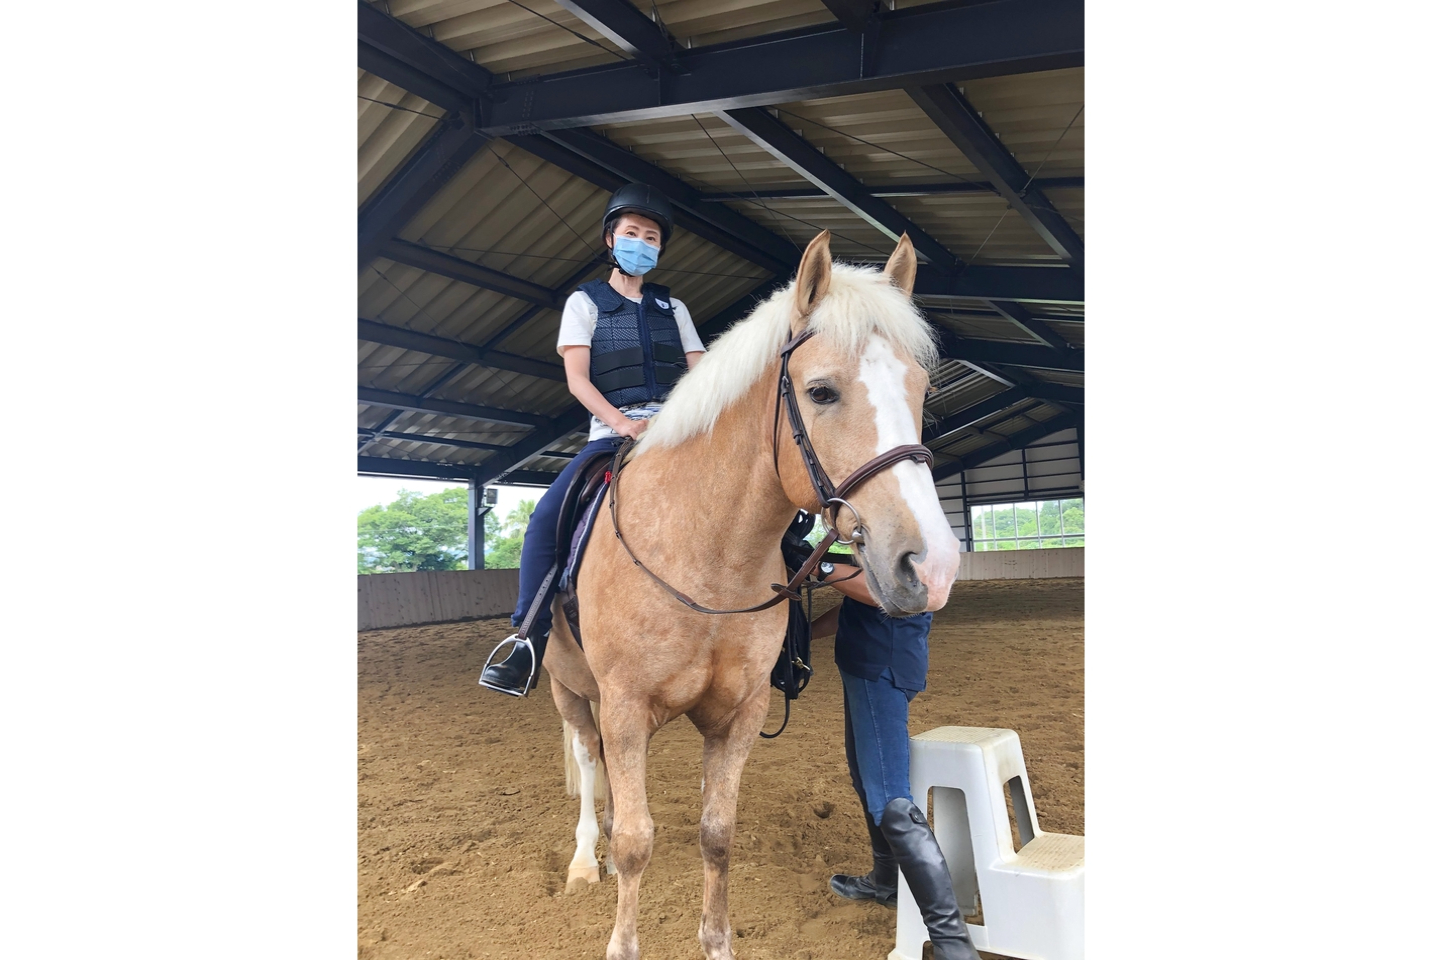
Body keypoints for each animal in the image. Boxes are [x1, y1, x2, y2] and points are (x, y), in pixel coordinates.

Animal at [537, 230, 961, 960]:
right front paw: (621, 929)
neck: (705, 557)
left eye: (920, 386)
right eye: (820, 391)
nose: (930, 565)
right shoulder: (624, 705)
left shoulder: (738, 714)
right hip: (571, 688)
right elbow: (638, 842)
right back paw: (586, 860)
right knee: (591, 765)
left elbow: (717, 834)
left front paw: (717, 942)